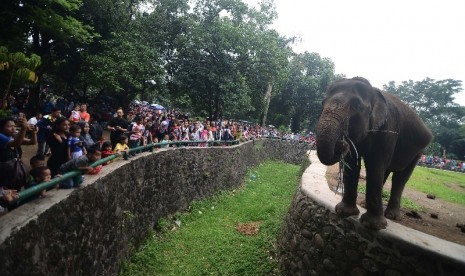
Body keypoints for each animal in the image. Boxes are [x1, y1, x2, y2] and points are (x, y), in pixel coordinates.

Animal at [316, 76, 432, 230]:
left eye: (356, 105)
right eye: (322, 103)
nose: (342, 143)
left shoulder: (388, 129)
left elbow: (375, 165)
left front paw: (372, 225)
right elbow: (353, 164)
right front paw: (344, 212)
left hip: (418, 152)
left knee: (400, 177)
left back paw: (392, 216)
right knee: (386, 172)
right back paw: (365, 205)